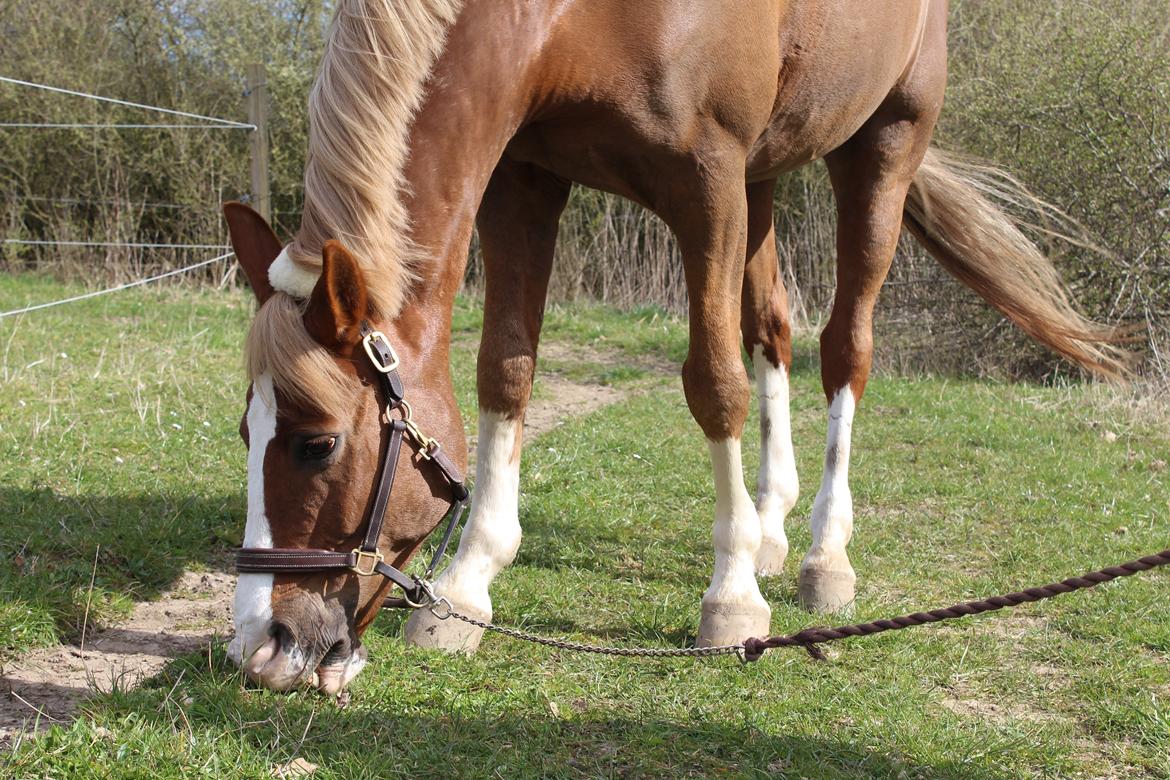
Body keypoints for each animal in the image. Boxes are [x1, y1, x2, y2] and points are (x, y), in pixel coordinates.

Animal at [221, 0, 1132, 696]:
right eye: (243, 432)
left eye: (316, 443)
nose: (260, 646)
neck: (571, 21)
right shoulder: (525, 181)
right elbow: (506, 368)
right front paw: (469, 583)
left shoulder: (706, 178)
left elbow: (713, 382)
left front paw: (731, 600)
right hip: (767, 174)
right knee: (775, 328)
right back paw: (770, 525)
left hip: (879, 146)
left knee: (845, 347)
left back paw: (822, 554)